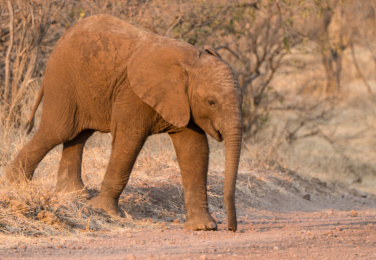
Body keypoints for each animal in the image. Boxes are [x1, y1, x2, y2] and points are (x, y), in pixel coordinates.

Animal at [5, 14, 242, 232]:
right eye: (211, 102)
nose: (232, 228)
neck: (191, 61)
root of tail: (62, 38)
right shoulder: (133, 94)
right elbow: (129, 141)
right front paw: (104, 211)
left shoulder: (183, 103)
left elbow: (194, 149)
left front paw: (203, 227)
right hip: (63, 79)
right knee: (57, 131)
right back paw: (14, 182)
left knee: (78, 135)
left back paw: (74, 195)